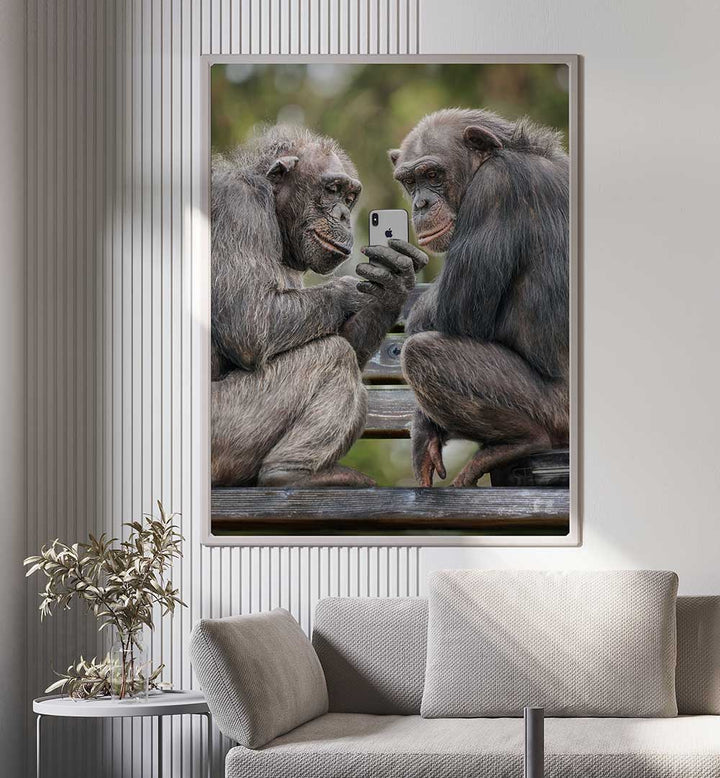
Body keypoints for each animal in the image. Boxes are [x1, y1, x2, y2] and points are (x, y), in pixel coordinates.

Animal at [211, 125, 425, 488]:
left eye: (349, 198)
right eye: (332, 189)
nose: (343, 213)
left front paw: (391, 286)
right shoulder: (238, 204)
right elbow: (250, 322)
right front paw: (350, 291)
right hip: (224, 428)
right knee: (331, 355)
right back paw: (292, 473)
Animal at [388, 108, 569, 487]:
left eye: (432, 175)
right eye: (410, 182)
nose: (421, 203)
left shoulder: (495, 189)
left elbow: (455, 311)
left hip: (555, 411)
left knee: (421, 352)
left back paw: (521, 441)